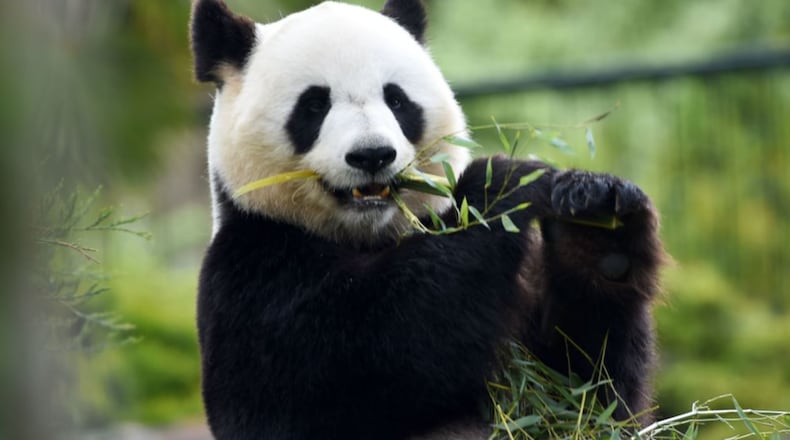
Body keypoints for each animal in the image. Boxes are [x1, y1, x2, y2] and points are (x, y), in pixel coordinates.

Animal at [190, 0, 665, 439]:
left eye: (397, 100)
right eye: (313, 105)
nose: (372, 155)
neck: (368, 236)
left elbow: (586, 394)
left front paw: (597, 225)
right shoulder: (251, 267)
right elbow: (359, 355)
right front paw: (501, 182)